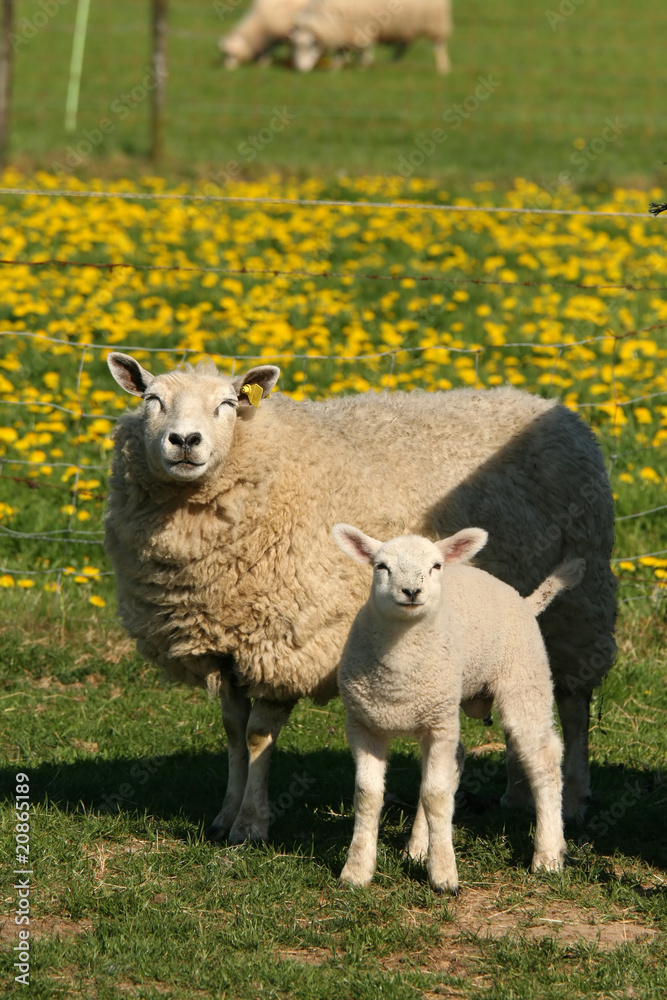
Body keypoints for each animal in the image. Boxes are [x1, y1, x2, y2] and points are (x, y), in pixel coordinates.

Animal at [104, 352, 616, 844]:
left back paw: (574, 796)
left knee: (573, 704)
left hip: (579, 608)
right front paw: (224, 815)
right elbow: (232, 734)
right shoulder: (226, 646)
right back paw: (516, 795)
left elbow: (257, 737)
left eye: (228, 404)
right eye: (151, 399)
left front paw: (249, 825)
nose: (185, 441)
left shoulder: (287, 644)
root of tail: (551, 407)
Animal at [291, 0, 453, 74]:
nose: (300, 69)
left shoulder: (362, 27)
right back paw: (393, 63)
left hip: (435, 21)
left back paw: (442, 68)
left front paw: (363, 66)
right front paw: (335, 68)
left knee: (439, 45)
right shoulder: (345, 31)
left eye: (311, 45)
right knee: (403, 46)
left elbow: (365, 49)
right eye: (295, 46)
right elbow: (341, 51)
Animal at [332, 524, 585, 894]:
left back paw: (549, 854)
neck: (399, 674)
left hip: (524, 680)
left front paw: (443, 875)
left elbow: (435, 795)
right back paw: (418, 848)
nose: (412, 591)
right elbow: (368, 795)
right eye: (381, 566)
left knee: (543, 759)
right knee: (455, 760)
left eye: (436, 566)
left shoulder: (439, 724)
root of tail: (523, 600)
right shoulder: (364, 725)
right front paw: (356, 871)